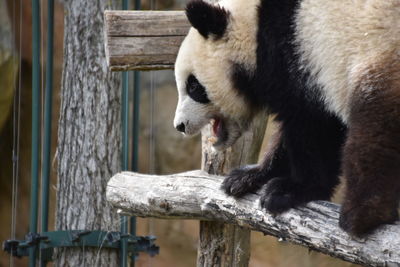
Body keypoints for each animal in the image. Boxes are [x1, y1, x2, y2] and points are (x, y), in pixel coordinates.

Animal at [173, 0, 400, 237]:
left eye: (193, 86)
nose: (180, 125)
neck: (256, 27)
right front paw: (247, 177)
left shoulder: (299, 47)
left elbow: (311, 124)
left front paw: (290, 190)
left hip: (381, 51)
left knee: (376, 126)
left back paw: (363, 215)